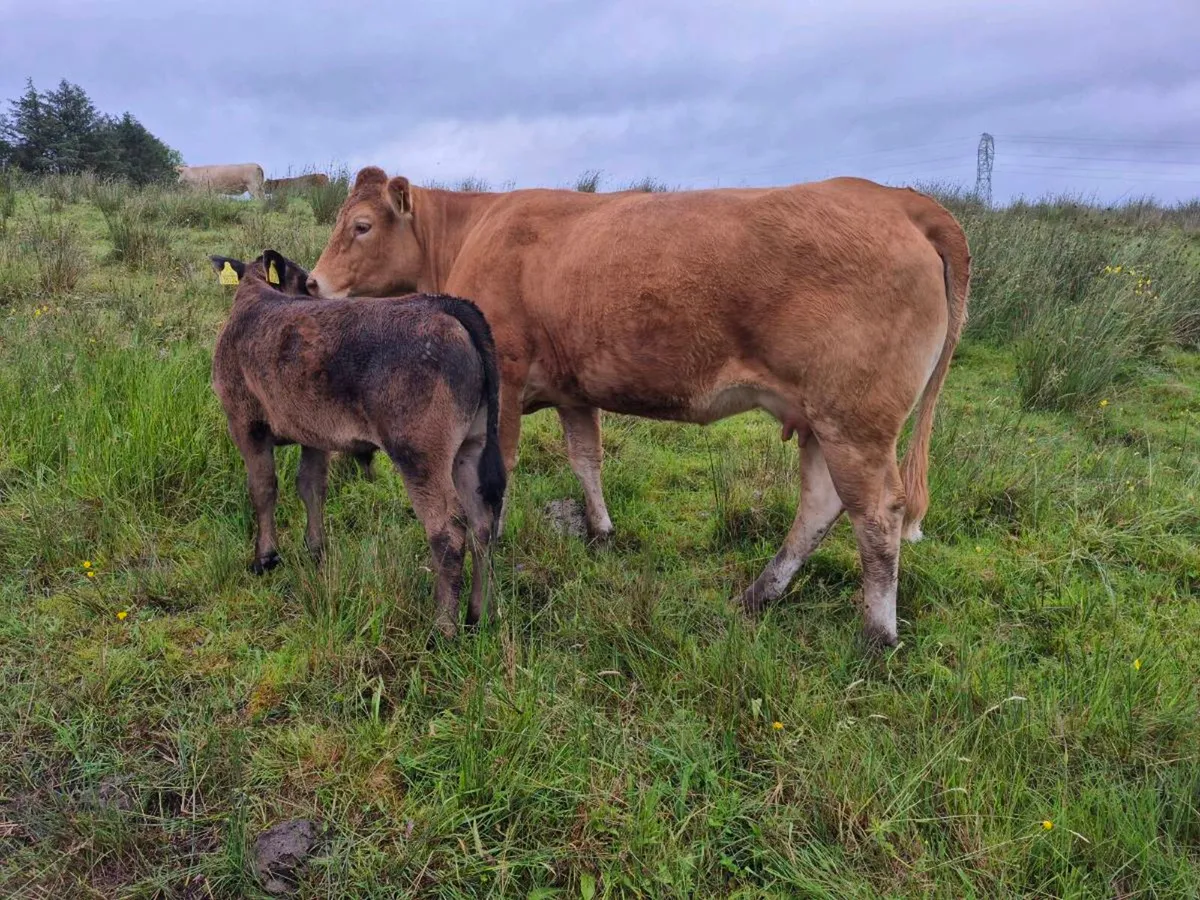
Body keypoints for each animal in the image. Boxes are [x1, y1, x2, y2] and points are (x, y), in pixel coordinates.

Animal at [209, 248, 506, 638]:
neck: (255, 295)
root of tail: (442, 304)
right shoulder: (315, 434)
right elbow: (311, 487)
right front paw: (315, 551)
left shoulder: (245, 423)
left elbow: (263, 488)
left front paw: (265, 557)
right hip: (471, 446)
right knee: (482, 524)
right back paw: (476, 615)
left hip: (419, 455)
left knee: (448, 529)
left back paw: (443, 628)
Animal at [307, 167, 970, 646]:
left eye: (361, 225)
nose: (312, 282)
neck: (471, 232)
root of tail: (895, 199)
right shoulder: (574, 391)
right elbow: (586, 459)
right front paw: (601, 532)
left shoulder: (507, 384)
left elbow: (498, 479)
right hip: (817, 419)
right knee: (821, 504)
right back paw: (759, 594)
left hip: (854, 420)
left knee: (877, 514)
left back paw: (876, 635)